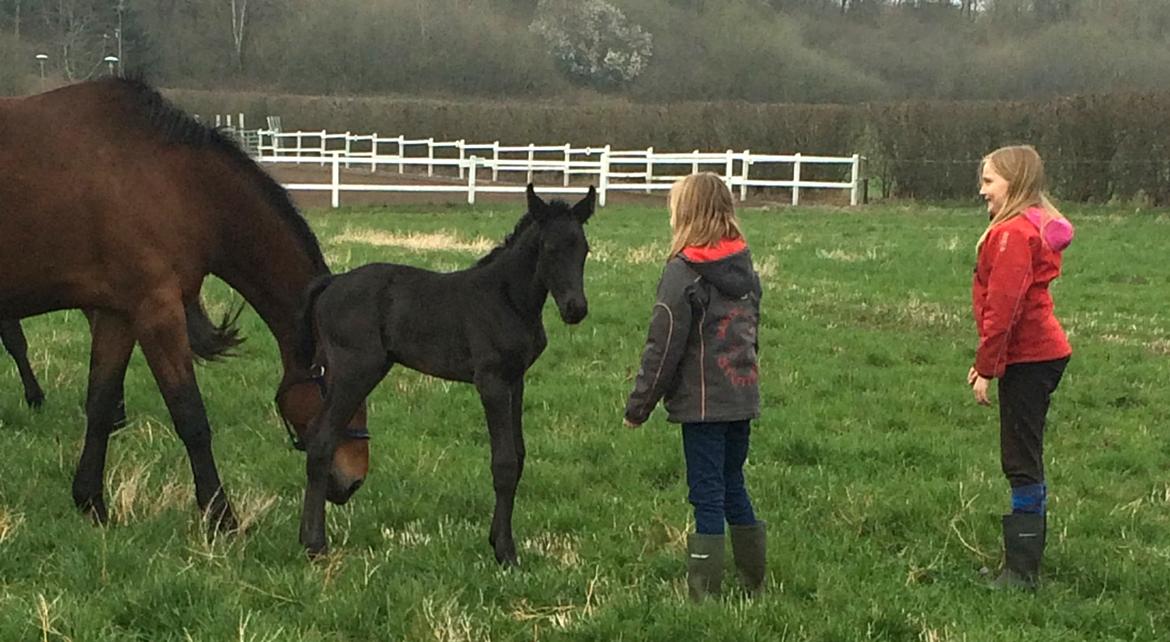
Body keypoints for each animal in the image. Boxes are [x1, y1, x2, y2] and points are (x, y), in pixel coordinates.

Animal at [0, 78, 369, 530]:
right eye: (340, 384)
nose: (354, 479)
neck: (175, 184)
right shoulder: (158, 311)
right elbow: (190, 416)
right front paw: (222, 515)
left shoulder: (119, 314)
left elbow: (101, 406)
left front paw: (92, 502)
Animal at [294, 183, 594, 561]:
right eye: (549, 249)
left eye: (584, 249)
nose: (575, 309)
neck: (507, 299)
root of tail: (331, 283)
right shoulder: (491, 382)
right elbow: (504, 463)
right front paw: (505, 552)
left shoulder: (516, 380)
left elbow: (519, 455)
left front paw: (497, 539)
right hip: (356, 371)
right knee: (322, 439)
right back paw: (315, 543)